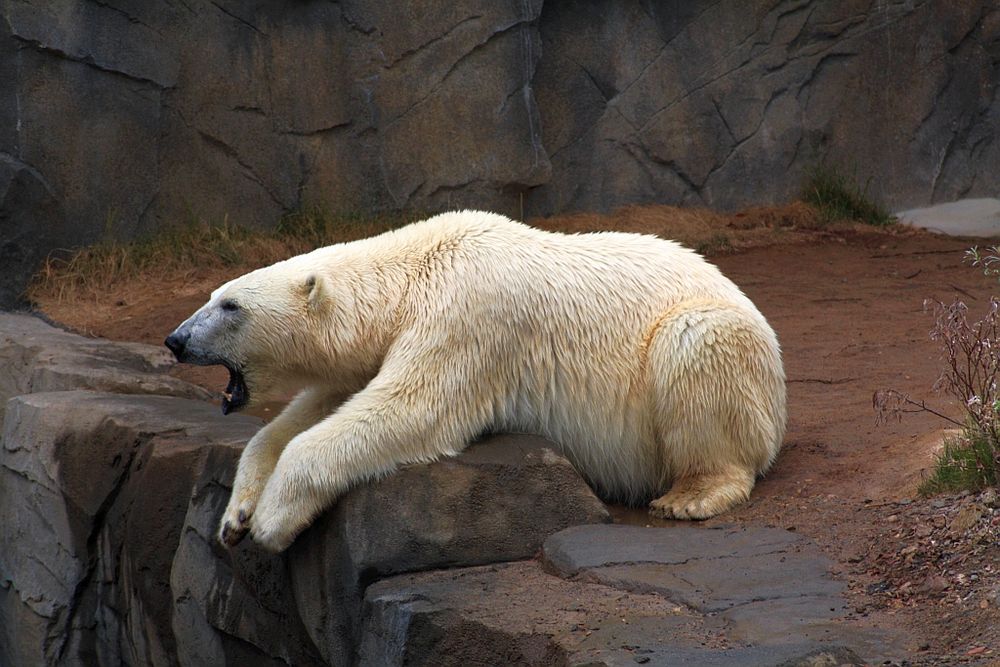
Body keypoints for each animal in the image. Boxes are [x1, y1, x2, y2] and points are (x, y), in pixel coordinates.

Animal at [168, 213, 784, 552]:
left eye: (230, 306)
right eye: (213, 295)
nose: (175, 339)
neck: (412, 270)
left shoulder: (468, 314)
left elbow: (408, 408)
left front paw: (271, 520)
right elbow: (316, 406)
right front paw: (235, 516)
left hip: (718, 349)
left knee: (696, 343)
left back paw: (690, 496)